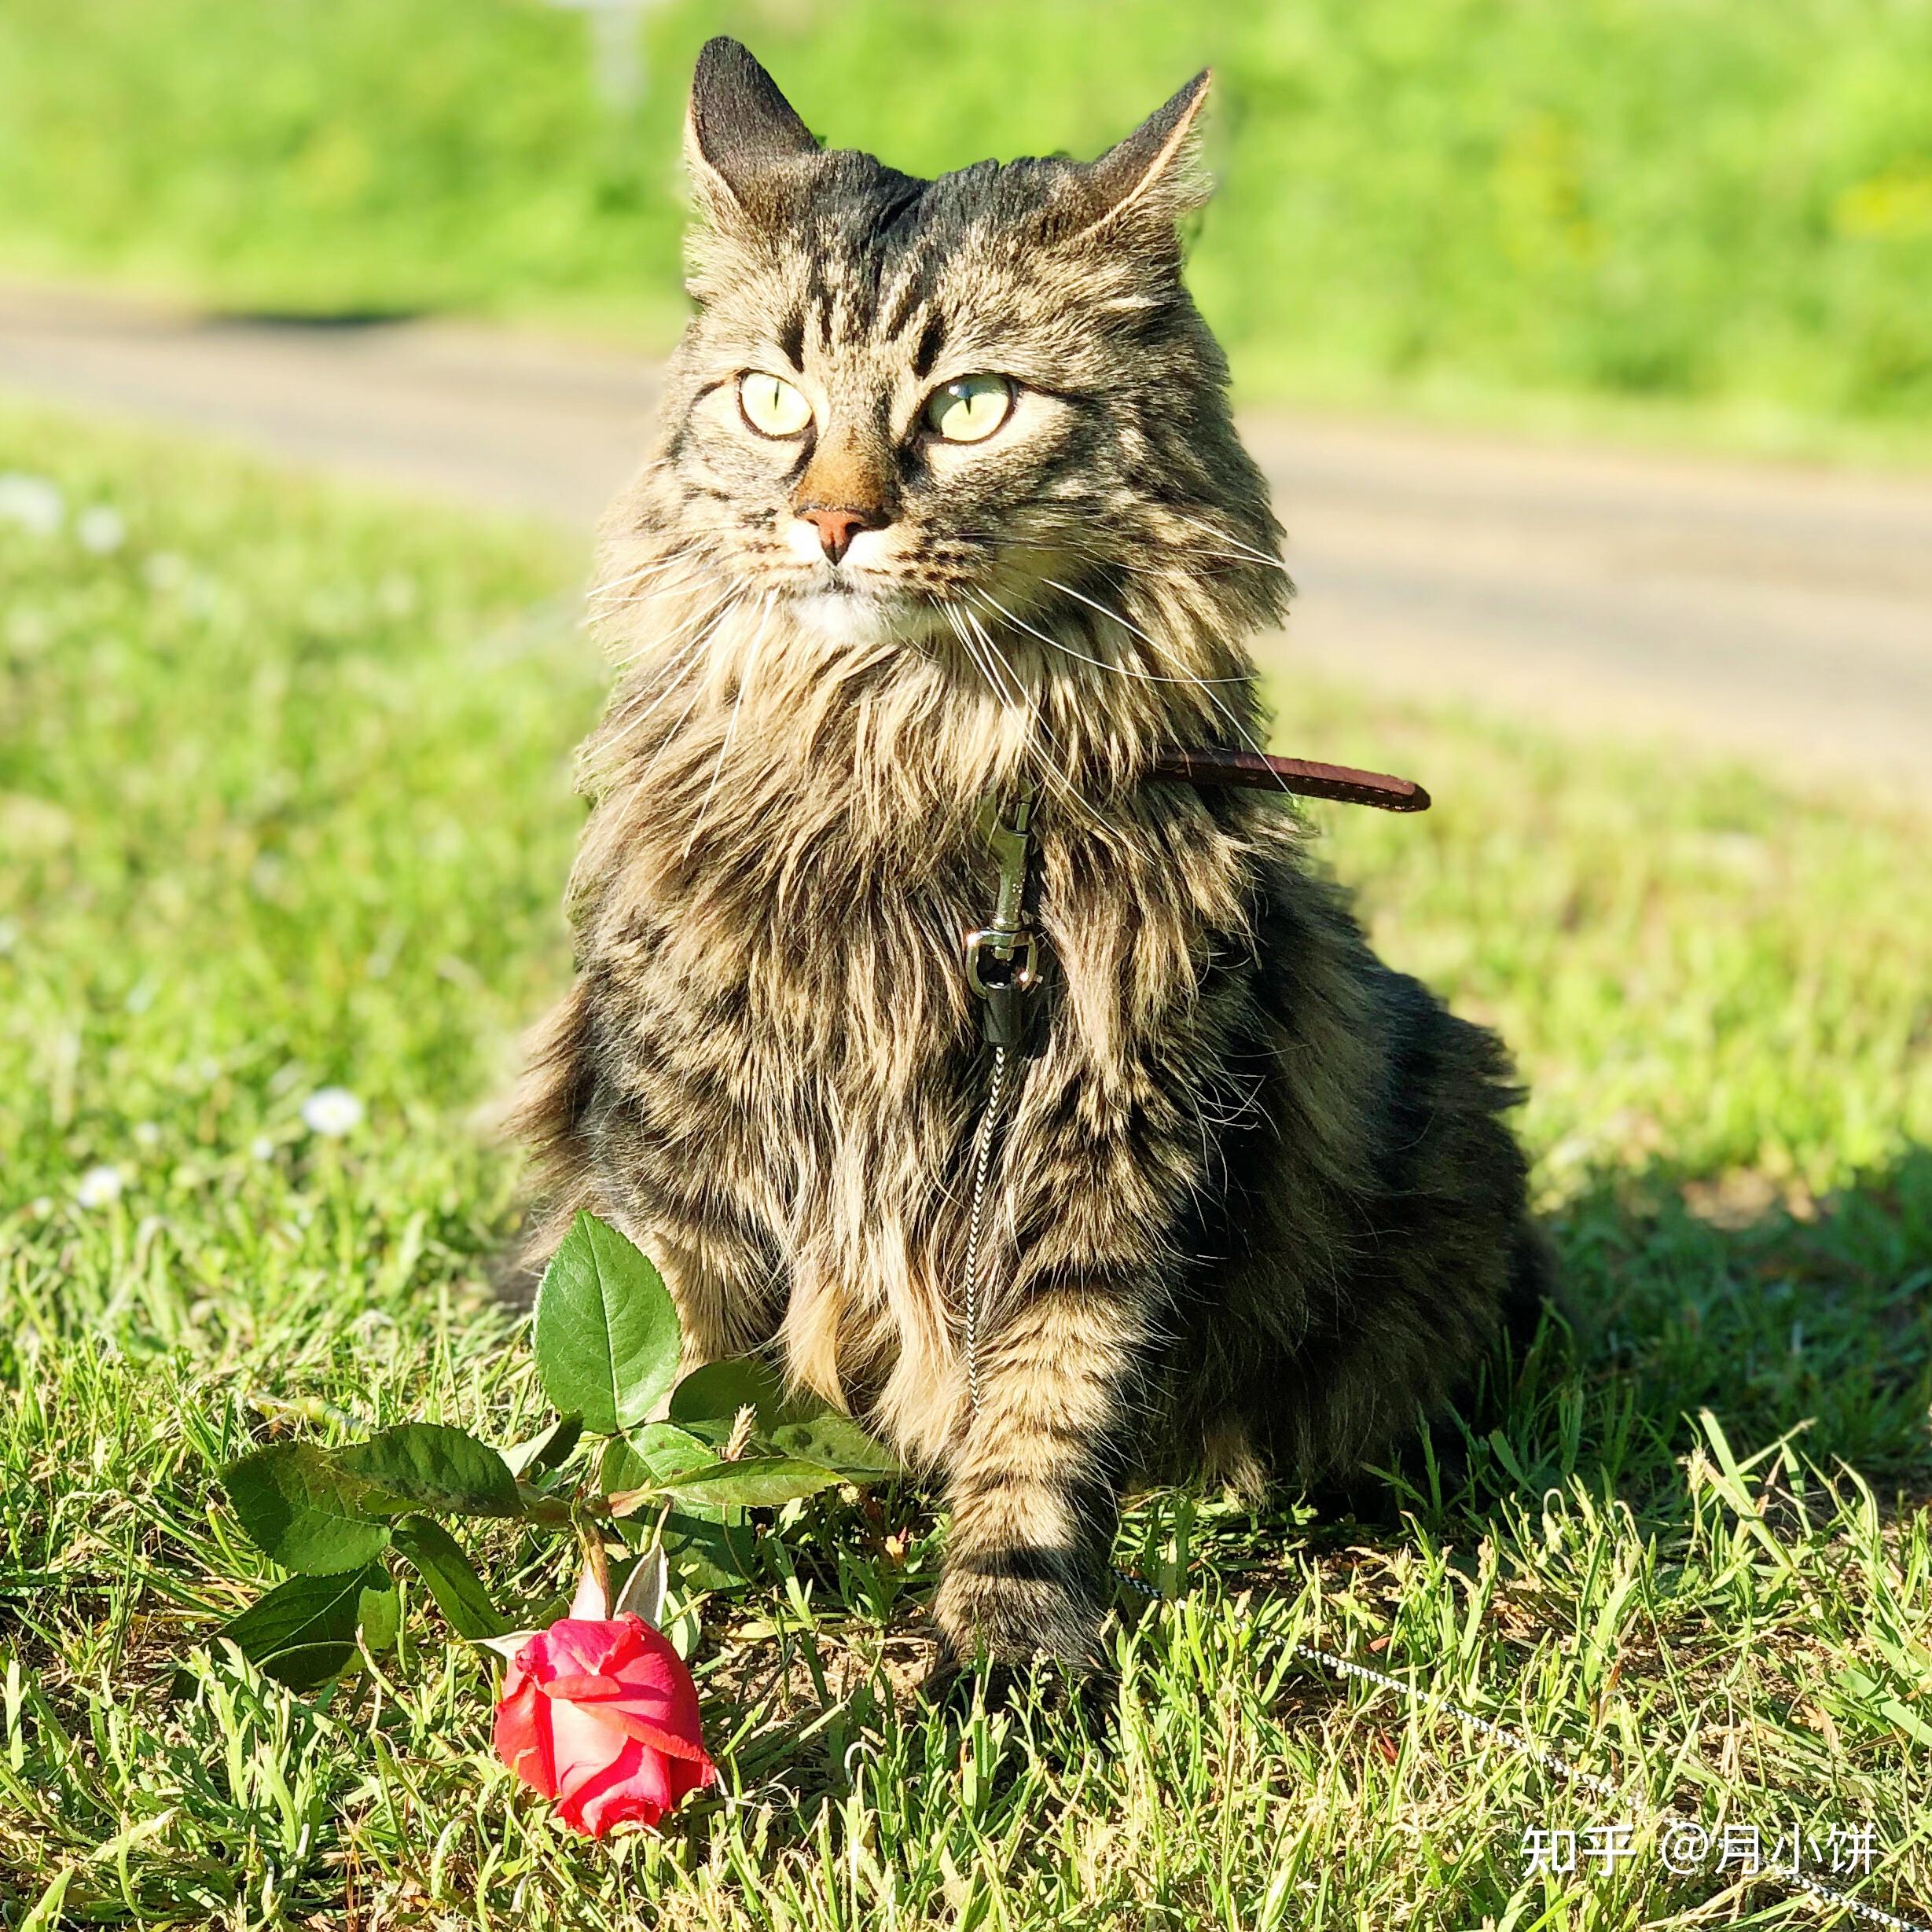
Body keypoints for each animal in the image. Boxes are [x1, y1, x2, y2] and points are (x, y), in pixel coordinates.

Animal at [517, 34, 1553, 1677]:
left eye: (971, 406)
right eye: (769, 399)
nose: (831, 521)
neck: (906, 754)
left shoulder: (1110, 1136)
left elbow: (1044, 1410)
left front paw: (1007, 1631)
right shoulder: (681, 1138)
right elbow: (661, 1399)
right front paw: (628, 1610)